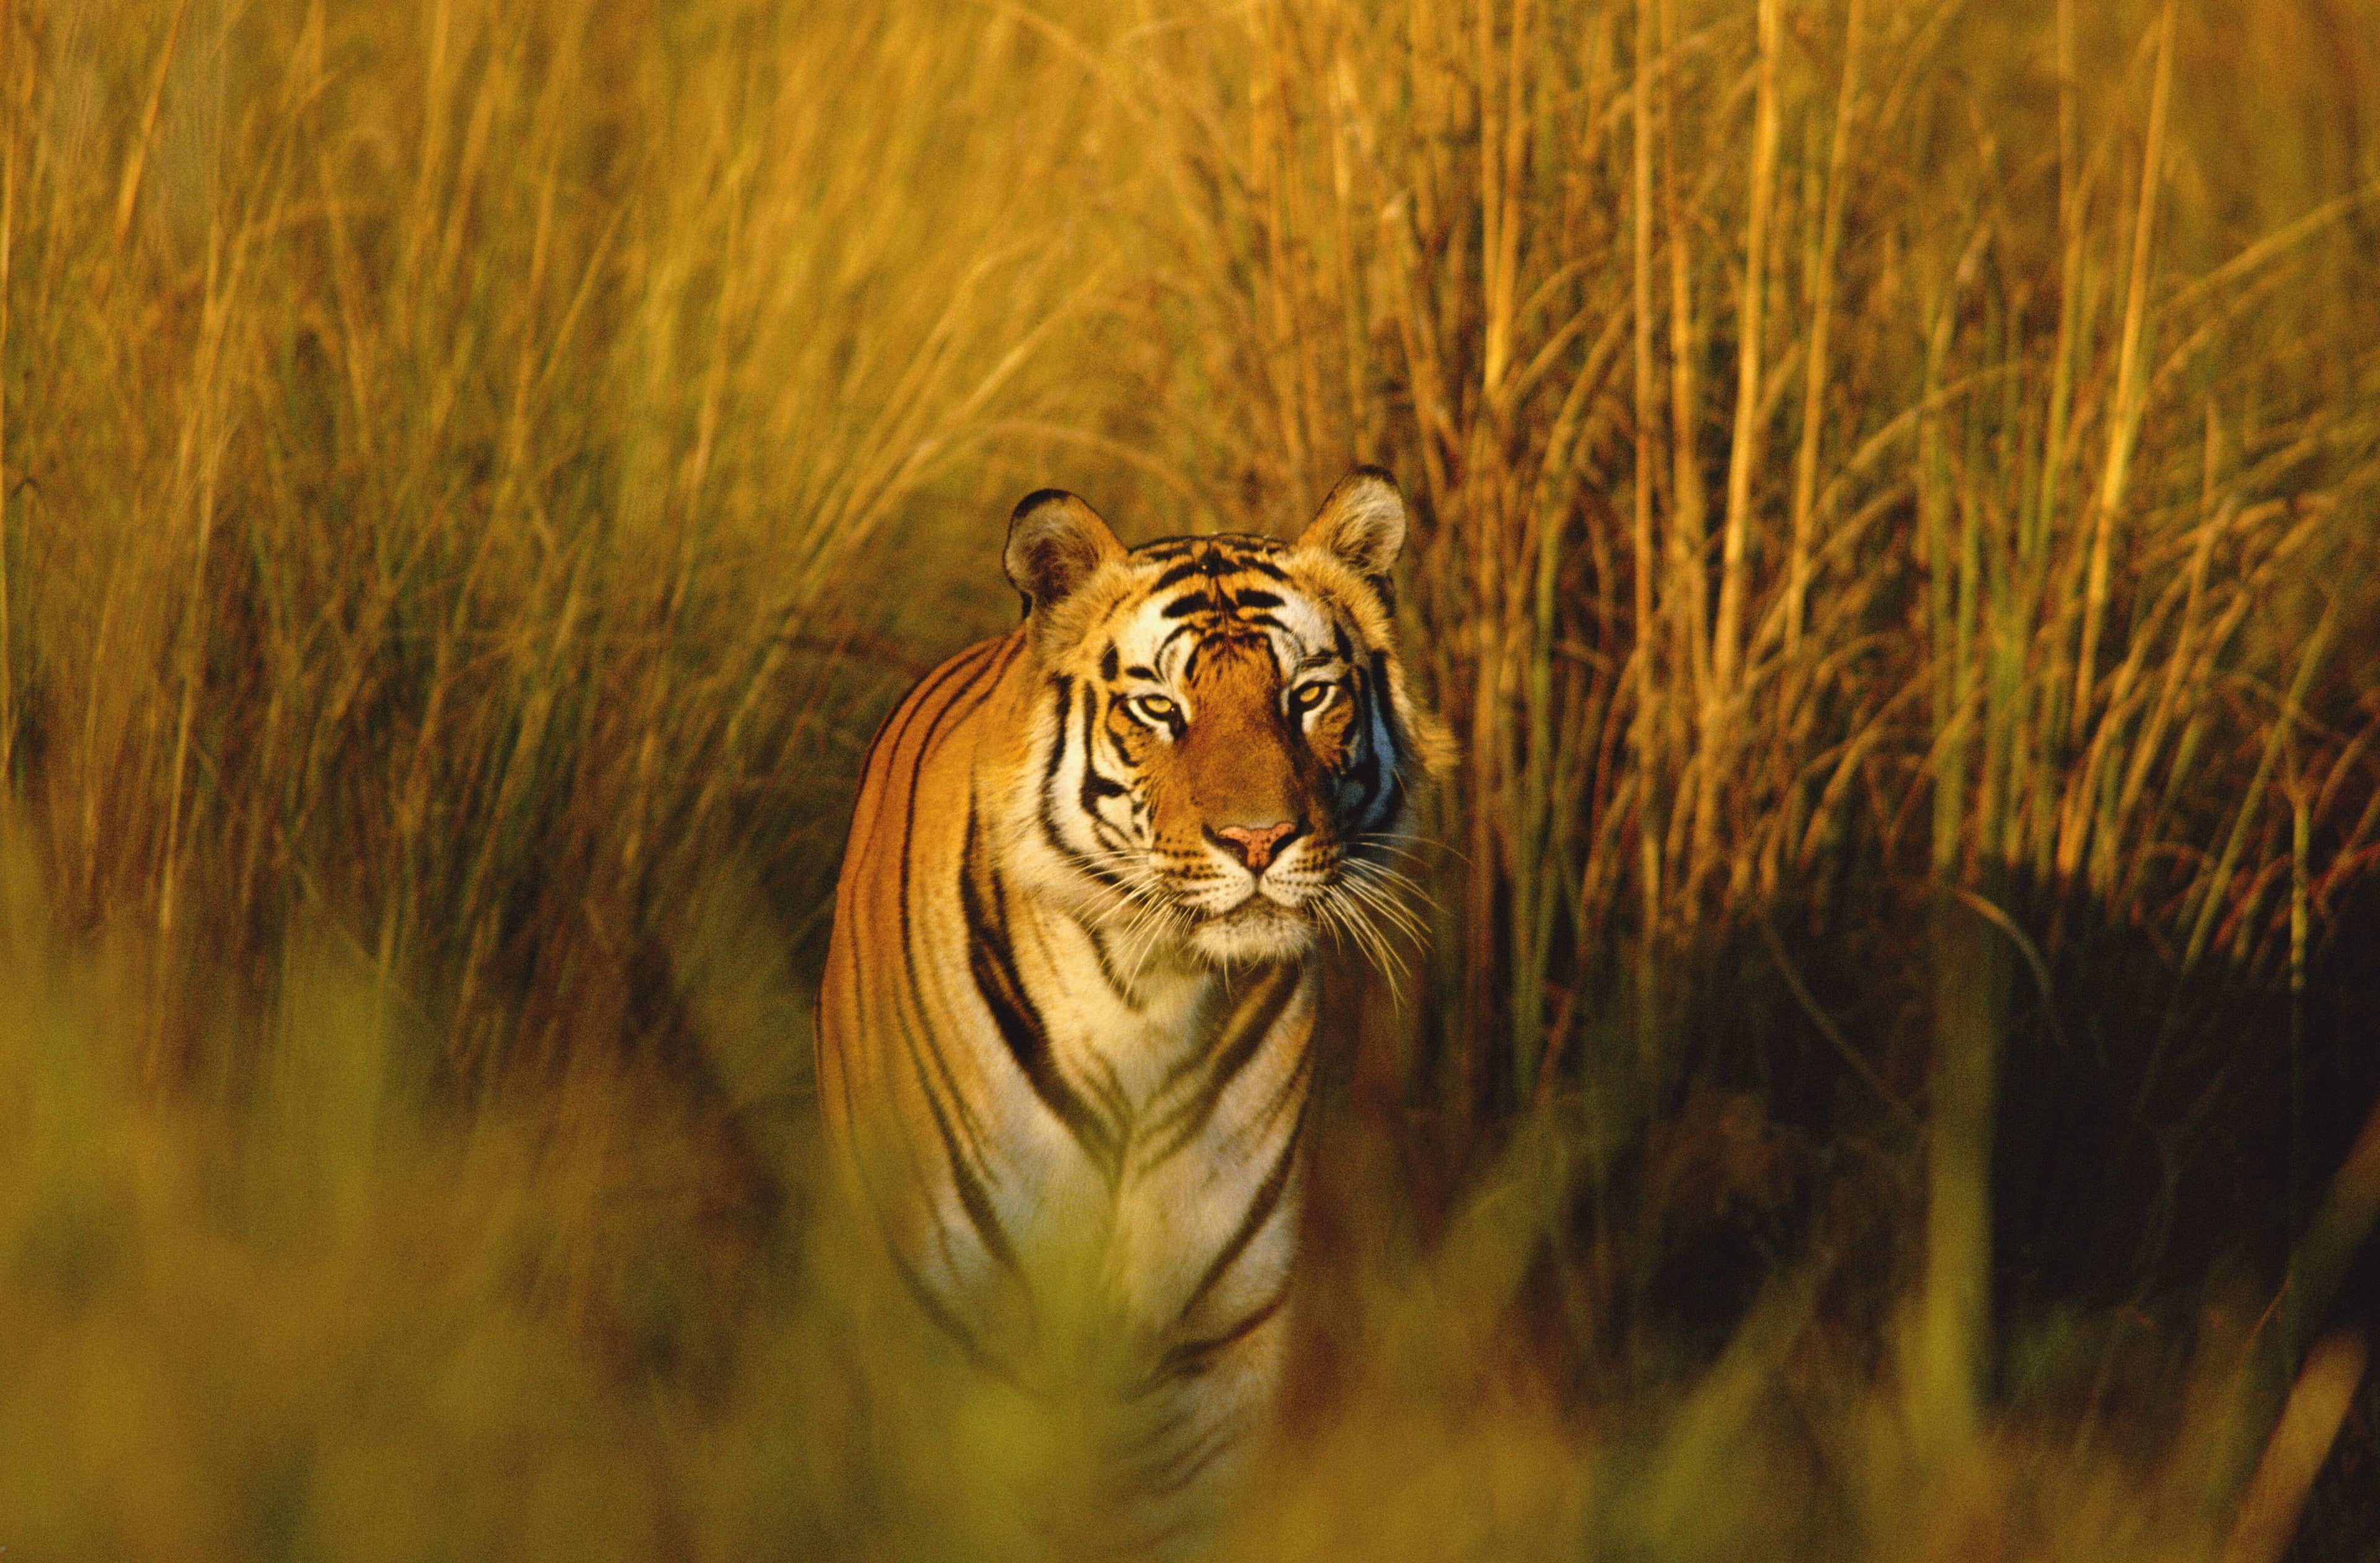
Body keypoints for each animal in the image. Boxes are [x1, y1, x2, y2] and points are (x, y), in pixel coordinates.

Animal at [816, 466, 1447, 1557]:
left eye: (1307, 694)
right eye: (1160, 706)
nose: (1259, 840)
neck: (1151, 995)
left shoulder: (1214, 1349)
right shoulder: (959, 1333)